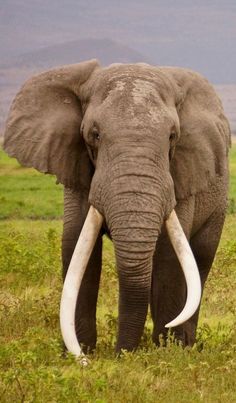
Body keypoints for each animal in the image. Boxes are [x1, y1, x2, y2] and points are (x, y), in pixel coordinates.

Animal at [2, 59, 230, 356]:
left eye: (172, 137)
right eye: (94, 135)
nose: (121, 354)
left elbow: (169, 257)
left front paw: (166, 353)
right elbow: (77, 248)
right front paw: (78, 353)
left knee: (199, 261)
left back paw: (185, 346)